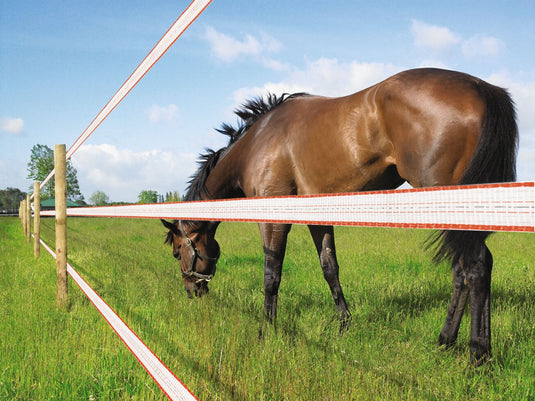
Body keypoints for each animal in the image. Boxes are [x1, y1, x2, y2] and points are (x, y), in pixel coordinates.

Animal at [163, 67, 520, 364]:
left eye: (177, 251)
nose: (192, 292)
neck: (258, 142)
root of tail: (482, 87)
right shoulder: (317, 218)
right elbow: (329, 268)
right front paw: (343, 323)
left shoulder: (273, 219)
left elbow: (271, 275)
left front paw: (266, 331)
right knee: (470, 268)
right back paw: (449, 343)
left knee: (474, 266)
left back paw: (476, 355)